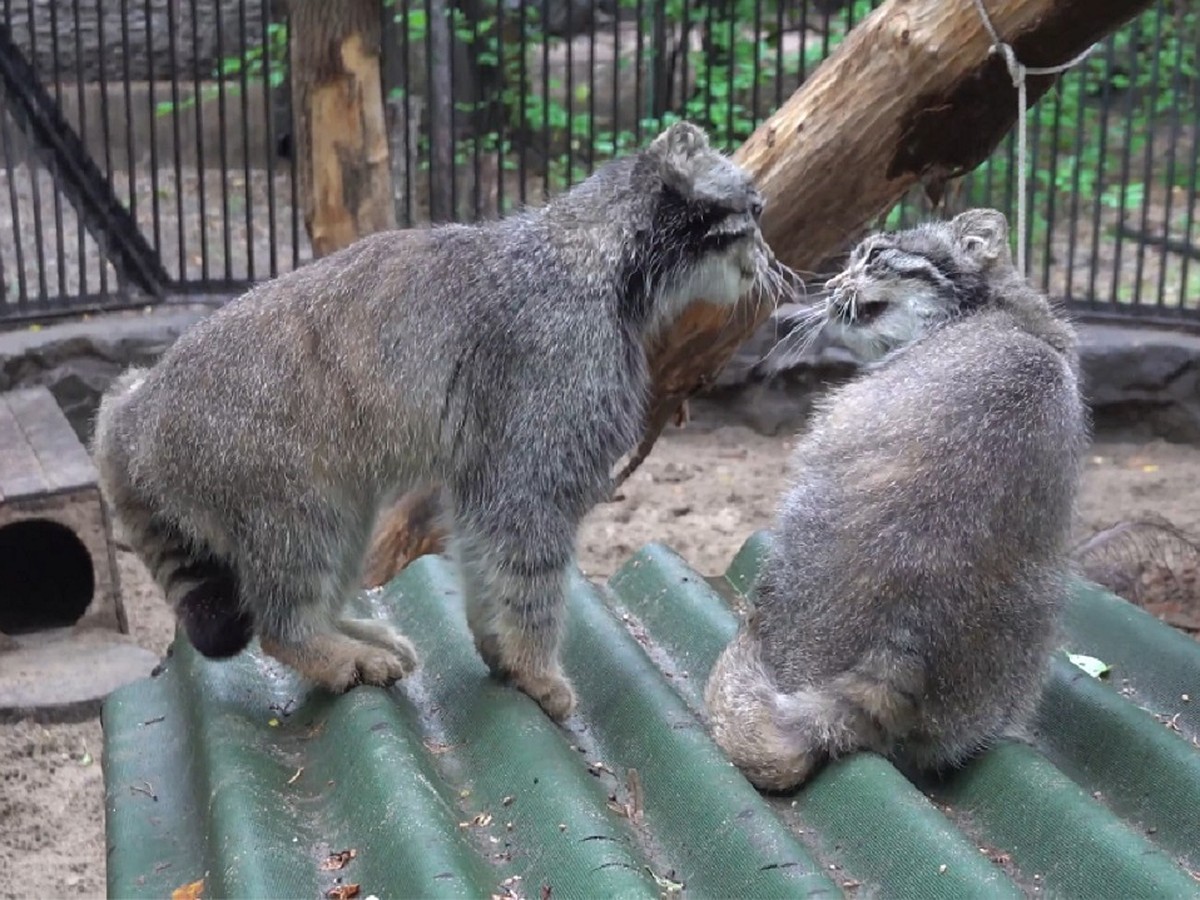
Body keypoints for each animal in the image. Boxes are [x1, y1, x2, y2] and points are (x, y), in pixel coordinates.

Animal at [96, 123, 787, 724]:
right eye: (753, 212)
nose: (770, 257)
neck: (604, 256)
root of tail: (134, 404)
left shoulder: (486, 473)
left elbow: (485, 564)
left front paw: (499, 648)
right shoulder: (532, 465)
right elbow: (534, 582)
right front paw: (537, 668)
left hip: (343, 509)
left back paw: (350, 631)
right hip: (294, 505)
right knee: (278, 625)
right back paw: (331, 652)